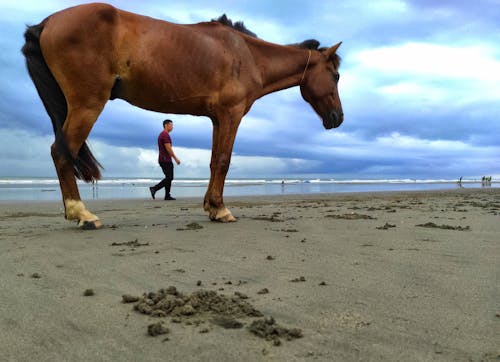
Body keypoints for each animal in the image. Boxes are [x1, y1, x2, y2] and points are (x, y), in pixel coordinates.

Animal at [23, 2, 344, 229]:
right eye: (336, 75)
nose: (337, 117)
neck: (247, 54)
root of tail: (49, 22)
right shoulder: (231, 114)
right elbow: (224, 161)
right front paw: (221, 209)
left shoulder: (217, 118)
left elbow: (214, 162)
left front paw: (212, 207)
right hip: (87, 105)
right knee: (61, 152)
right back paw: (83, 214)